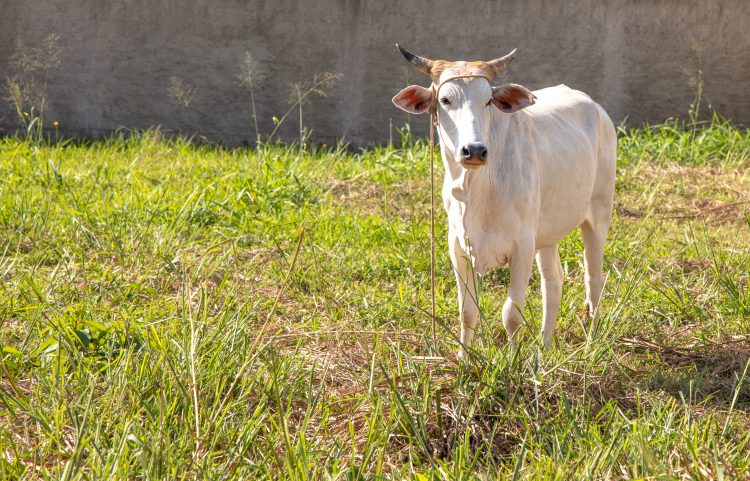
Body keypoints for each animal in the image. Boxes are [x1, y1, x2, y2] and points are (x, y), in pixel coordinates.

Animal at [392, 45, 616, 357]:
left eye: (488, 101)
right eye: (445, 100)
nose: (474, 150)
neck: (476, 189)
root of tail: (596, 107)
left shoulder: (521, 247)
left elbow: (511, 314)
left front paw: (511, 361)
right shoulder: (458, 247)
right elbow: (467, 312)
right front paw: (463, 359)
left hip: (598, 214)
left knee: (593, 279)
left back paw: (590, 343)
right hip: (545, 235)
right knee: (553, 282)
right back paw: (545, 346)